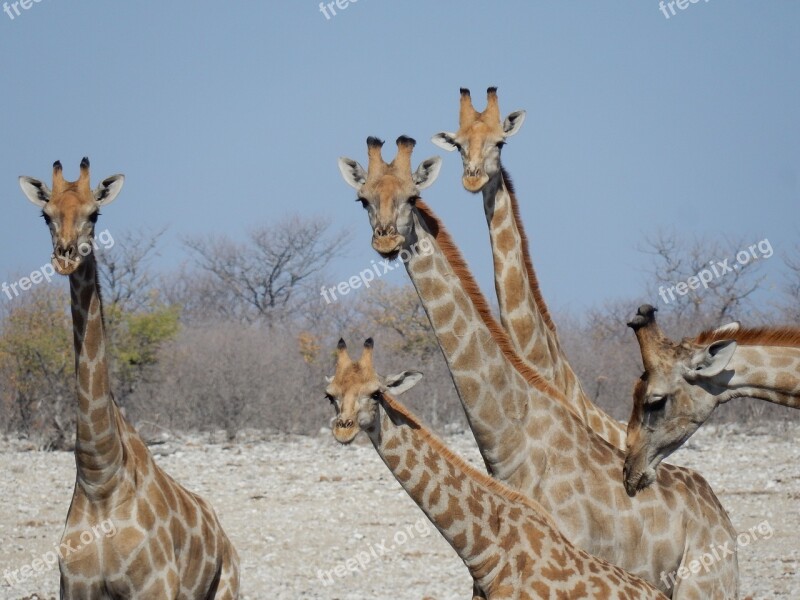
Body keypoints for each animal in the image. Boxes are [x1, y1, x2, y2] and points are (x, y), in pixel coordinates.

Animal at [18, 159, 238, 600]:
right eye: (45, 215)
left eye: (94, 214)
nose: (65, 258)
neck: (100, 477)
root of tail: (223, 536)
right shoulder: (74, 588)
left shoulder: (154, 587)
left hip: (227, 589)